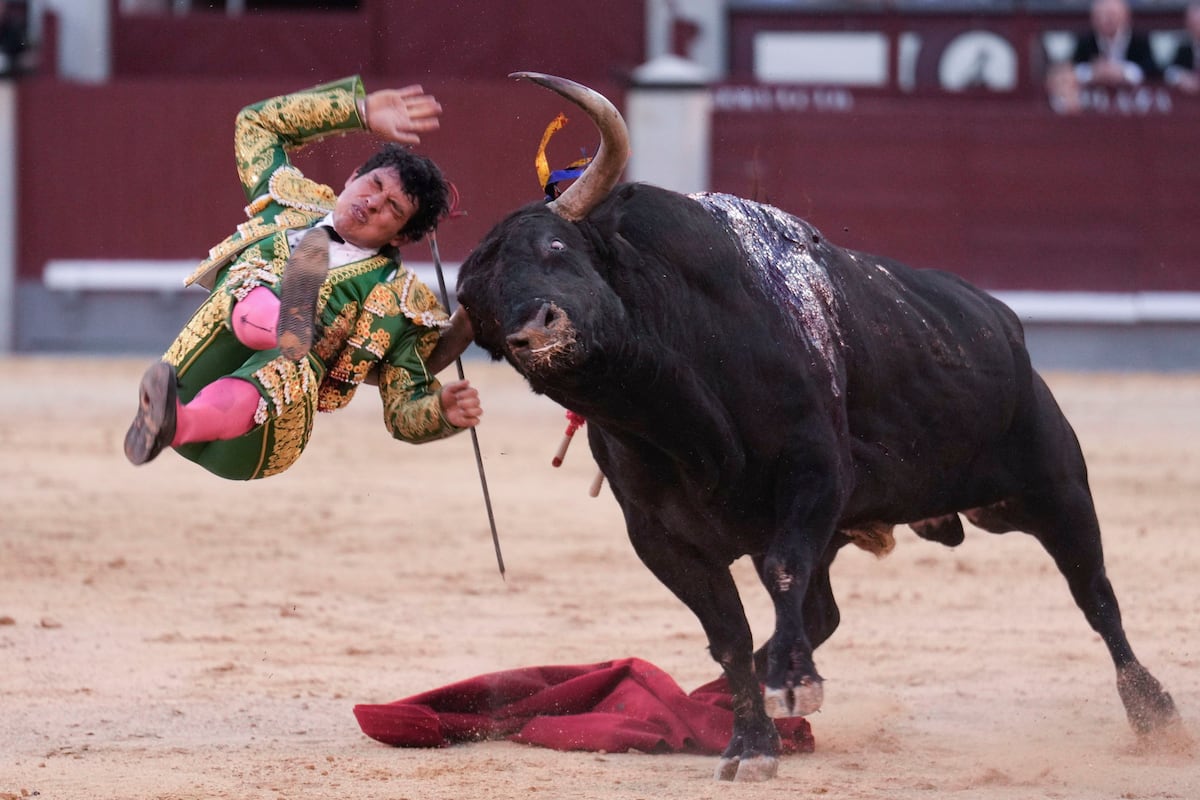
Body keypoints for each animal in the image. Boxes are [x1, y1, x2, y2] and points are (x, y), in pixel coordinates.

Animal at [453, 74, 1185, 782]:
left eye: (555, 247)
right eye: (479, 312)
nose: (533, 331)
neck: (680, 414)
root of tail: (1004, 322)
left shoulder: (815, 474)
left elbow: (781, 573)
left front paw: (792, 684)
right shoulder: (660, 538)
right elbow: (728, 633)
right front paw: (752, 739)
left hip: (1052, 485)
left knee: (1096, 595)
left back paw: (1153, 712)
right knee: (822, 609)